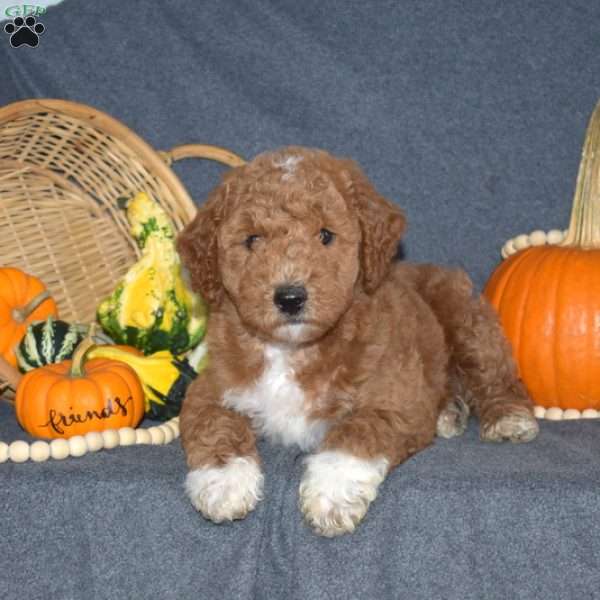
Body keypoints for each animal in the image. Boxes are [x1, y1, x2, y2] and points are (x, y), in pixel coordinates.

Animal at [175, 146, 540, 540]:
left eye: (325, 235)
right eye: (253, 240)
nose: (290, 297)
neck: (291, 350)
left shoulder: (394, 401)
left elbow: (357, 431)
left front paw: (330, 495)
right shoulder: (207, 388)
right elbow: (214, 423)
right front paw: (223, 484)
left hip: (465, 319)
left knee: (495, 374)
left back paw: (508, 419)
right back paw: (449, 412)